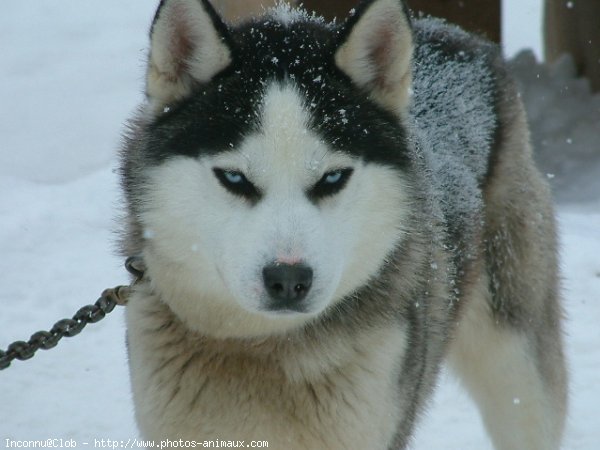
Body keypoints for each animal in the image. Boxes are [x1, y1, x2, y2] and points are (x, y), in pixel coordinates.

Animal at [120, 0, 568, 446]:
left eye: (333, 178)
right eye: (234, 178)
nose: (288, 280)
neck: (259, 346)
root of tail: (457, 35)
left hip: (517, 368)